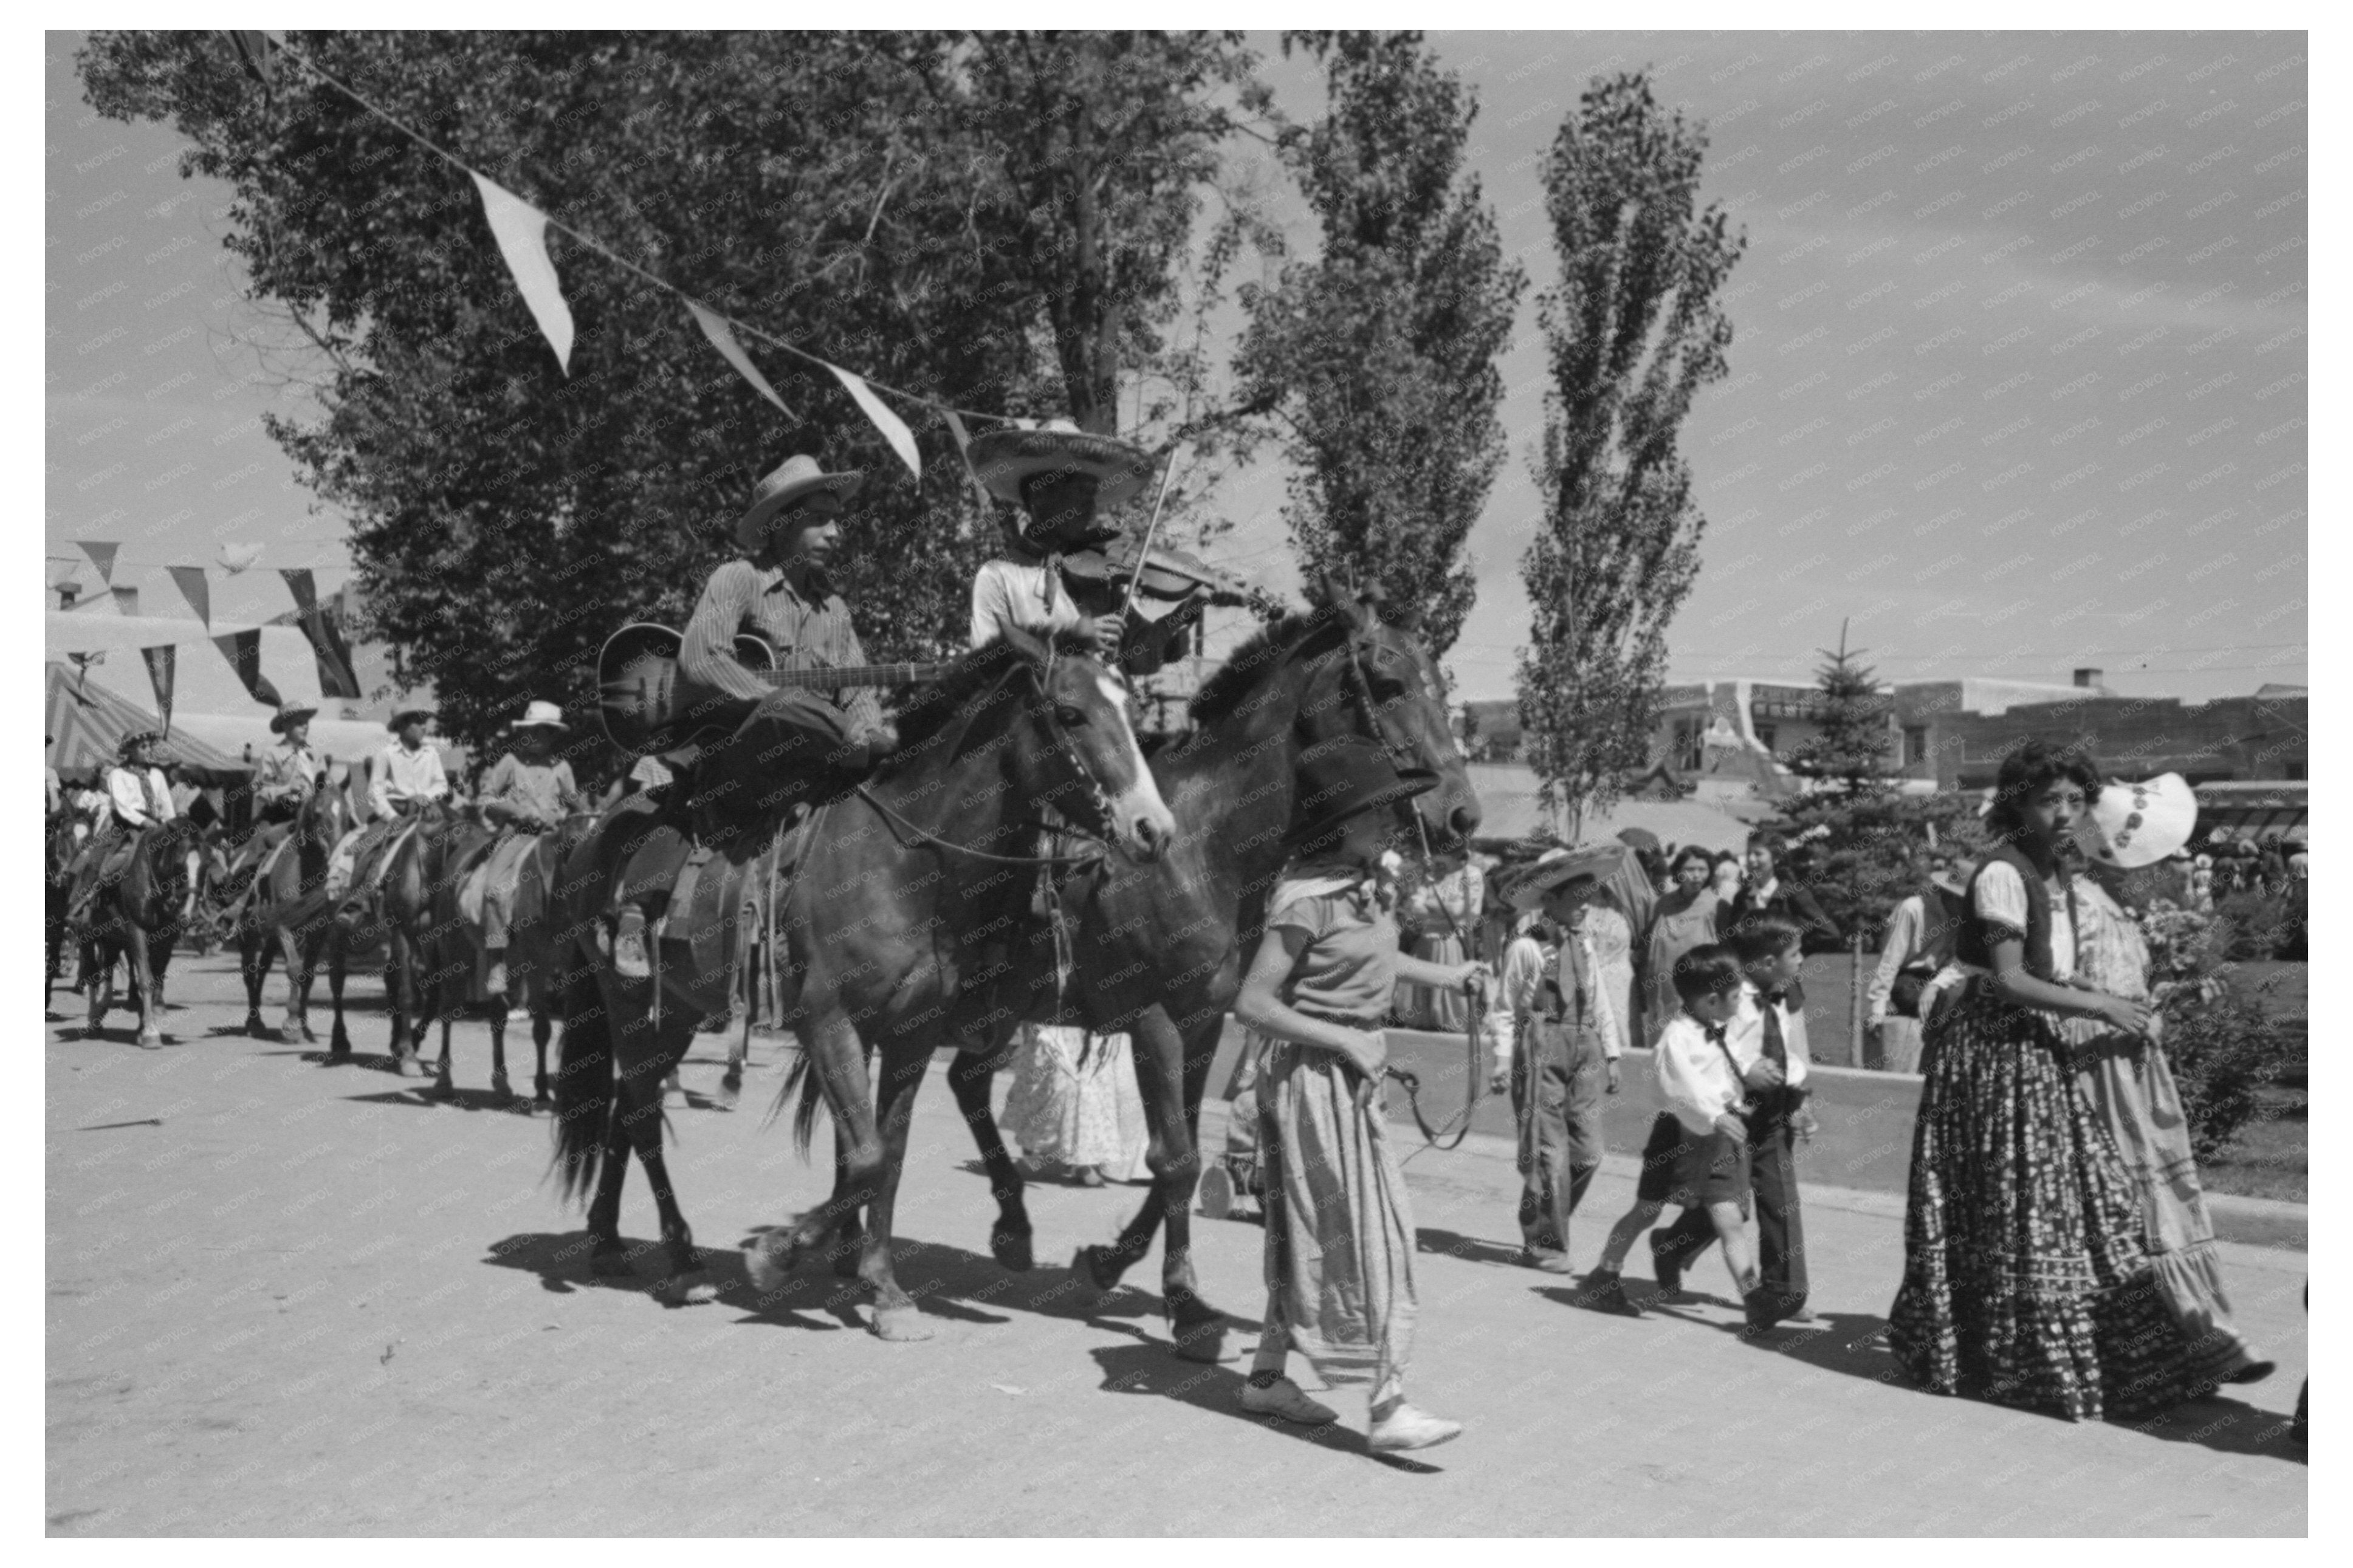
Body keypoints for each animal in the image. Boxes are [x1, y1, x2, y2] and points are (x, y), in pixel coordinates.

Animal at [75, 818, 200, 1048]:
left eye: (206, 866)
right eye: (180, 866)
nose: (189, 916)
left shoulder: (165, 939)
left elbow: (156, 979)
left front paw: (144, 1027)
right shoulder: (137, 932)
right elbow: (145, 979)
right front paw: (150, 1032)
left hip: (112, 939)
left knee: (107, 972)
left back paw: (103, 1009)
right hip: (87, 936)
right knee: (92, 974)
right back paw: (94, 1019)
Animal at [552, 630, 1176, 1326]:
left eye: (1131, 710)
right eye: (1070, 713)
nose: (1152, 828)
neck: (901, 860)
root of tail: (592, 837)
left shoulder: (913, 1033)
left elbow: (889, 1155)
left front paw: (883, 1288)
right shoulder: (829, 1025)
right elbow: (866, 1157)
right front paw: (777, 1254)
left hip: (678, 1014)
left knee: (624, 1107)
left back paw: (608, 1241)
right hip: (629, 1005)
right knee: (638, 1116)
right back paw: (684, 1261)